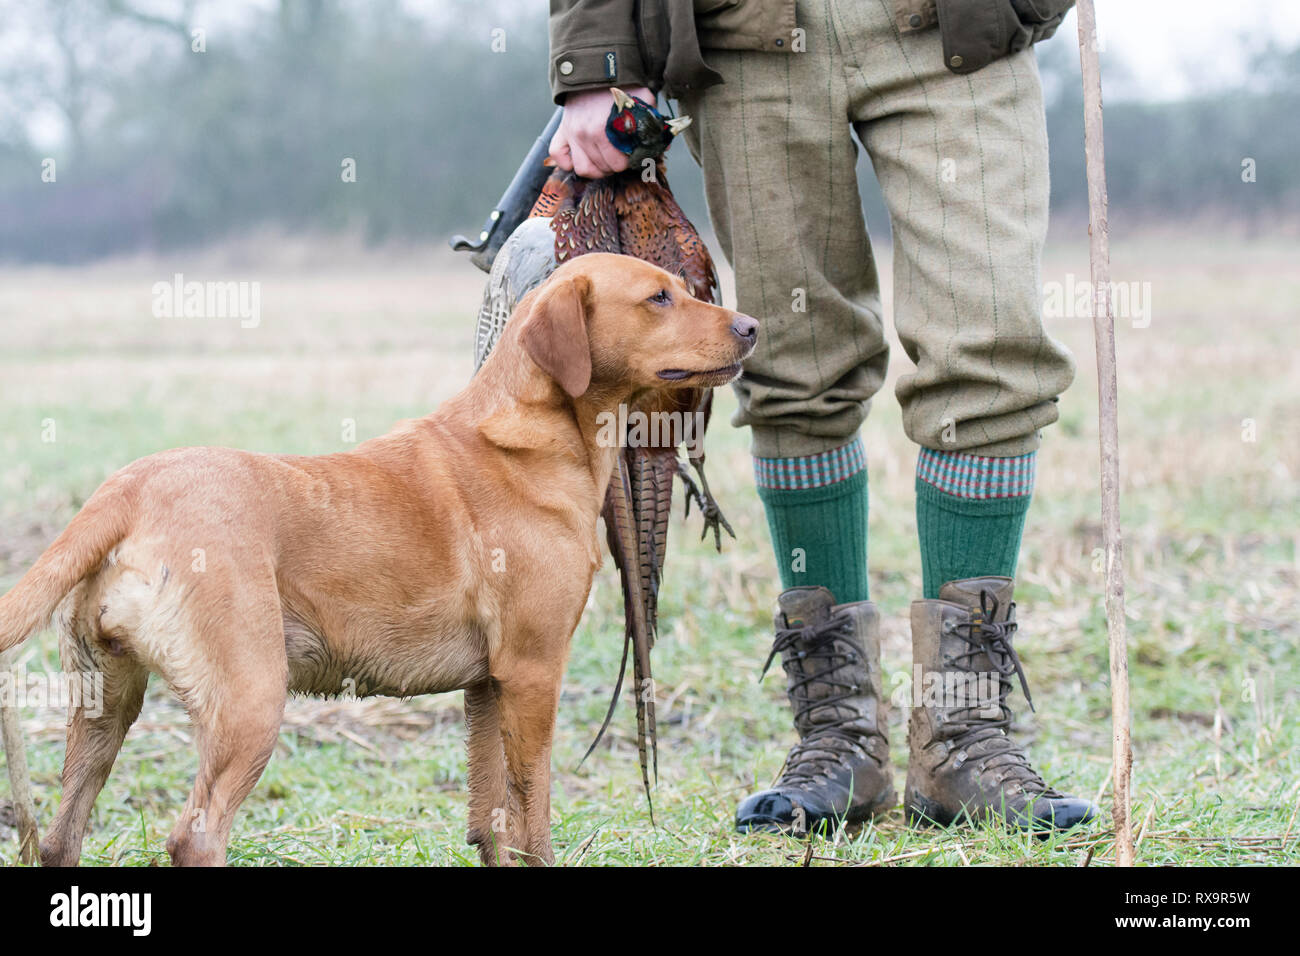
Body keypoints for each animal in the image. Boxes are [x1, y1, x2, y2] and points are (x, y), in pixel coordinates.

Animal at [0, 254, 759, 868]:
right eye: (658, 297)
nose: (752, 326)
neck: (536, 433)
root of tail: (125, 489)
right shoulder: (533, 671)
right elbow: (532, 820)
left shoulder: (487, 685)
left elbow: (490, 822)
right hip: (250, 700)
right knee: (196, 835)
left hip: (105, 704)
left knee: (60, 838)